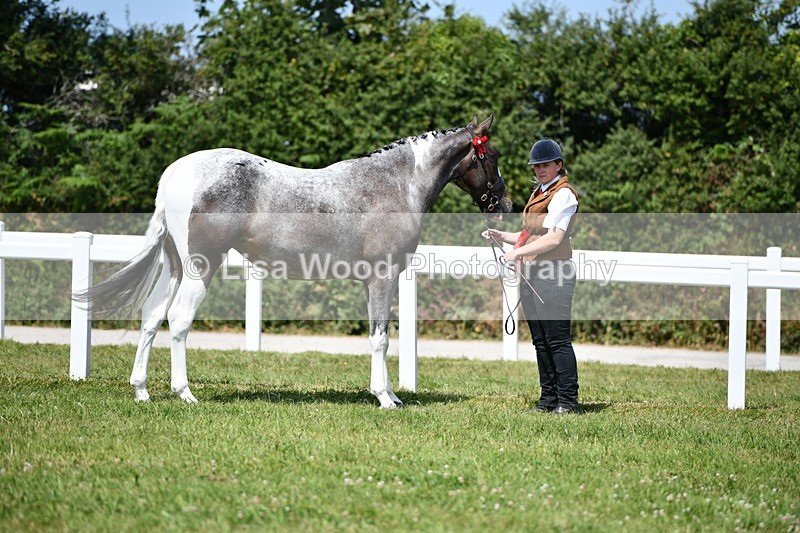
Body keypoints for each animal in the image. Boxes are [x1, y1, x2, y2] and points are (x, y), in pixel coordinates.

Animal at [74, 115, 513, 408]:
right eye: (490, 154)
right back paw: (185, 394)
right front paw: (385, 398)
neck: (396, 185)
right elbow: (381, 338)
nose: (505, 204)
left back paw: (142, 390)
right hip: (201, 266)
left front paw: (388, 393)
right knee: (179, 321)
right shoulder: (382, 276)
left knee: (151, 317)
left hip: (175, 267)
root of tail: (174, 175)